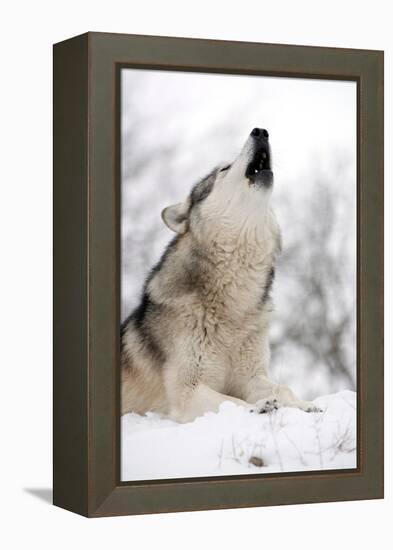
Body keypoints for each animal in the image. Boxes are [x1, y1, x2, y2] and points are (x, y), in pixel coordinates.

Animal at [121, 128, 320, 422]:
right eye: (224, 169)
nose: (260, 131)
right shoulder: (188, 392)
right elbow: (231, 401)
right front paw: (260, 407)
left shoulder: (251, 376)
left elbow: (283, 388)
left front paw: (305, 405)